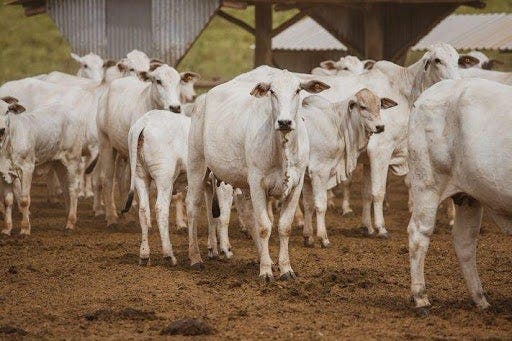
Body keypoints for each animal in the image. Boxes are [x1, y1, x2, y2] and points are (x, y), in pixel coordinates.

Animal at [187, 67, 328, 278]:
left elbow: (283, 227)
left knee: (247, 216)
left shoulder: (296, 185)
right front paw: (266, 272)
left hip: (240, 182)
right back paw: (195, 258)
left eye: (297, 90)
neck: (282, 148)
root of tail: (204, 97)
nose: (284, 122)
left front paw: (285, 268)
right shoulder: (257, 183)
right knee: (193, 209)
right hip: (197, 165)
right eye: (272, 91)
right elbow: (264, 227)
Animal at [302, 89, 398, 246]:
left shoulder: (306, 177)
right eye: (363, 107)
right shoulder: (319, 172)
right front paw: (323, 238)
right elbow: (320, 205)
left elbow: (308, 205)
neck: (337, 124)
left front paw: (308, 237)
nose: (380, 127)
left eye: (379, 106)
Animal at [410, 77, 512, 310]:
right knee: (418, 234)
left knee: (465, 241)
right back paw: (421, 297)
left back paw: (480, 299)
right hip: (426, 183)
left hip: (469, 196)